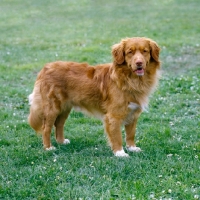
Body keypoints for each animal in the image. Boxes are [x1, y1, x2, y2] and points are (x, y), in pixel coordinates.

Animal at [27, 37, 161, 156]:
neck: (130, 80)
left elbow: (130, 134)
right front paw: (120, 153)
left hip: (65, 107)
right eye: (130, 52)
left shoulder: (133, 113)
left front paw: (132, 148)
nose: (139, 63)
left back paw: (61, 141)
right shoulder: (113, 116)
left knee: (59, 124)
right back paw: (48, 147)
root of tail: (45, 68)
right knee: (46, 128)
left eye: (145, 51)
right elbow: (117, 137)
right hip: (52, 108)